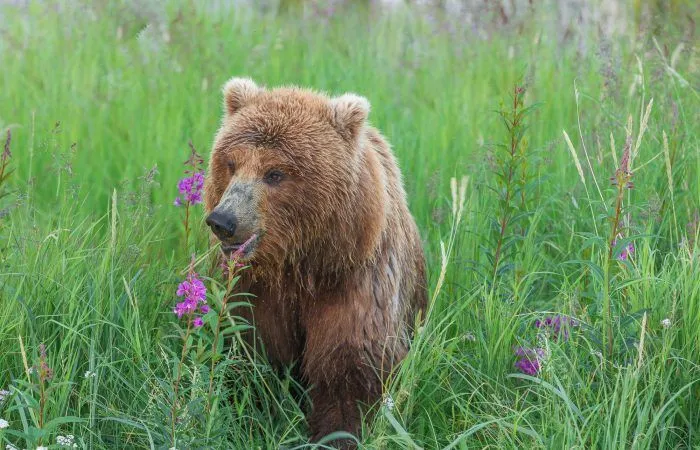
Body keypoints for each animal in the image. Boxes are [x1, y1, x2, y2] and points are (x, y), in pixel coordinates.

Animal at [203, 78, 427, 448]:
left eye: (275, 173)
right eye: (230, 163)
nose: (223, 220)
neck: (300, 263)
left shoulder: (355, 282)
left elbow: (350, 370)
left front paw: (336, 435)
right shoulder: (255, 290)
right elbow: (251, 353)